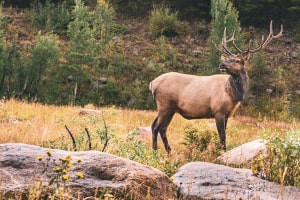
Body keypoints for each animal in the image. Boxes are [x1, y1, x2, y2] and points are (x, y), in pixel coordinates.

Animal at [150, 21, 284, 152]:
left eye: (237, 61)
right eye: (229, 58)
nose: (222, 64)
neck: (232, 95)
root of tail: (152, 84)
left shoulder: (228, 114)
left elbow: (224, 134)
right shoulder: (218, 111)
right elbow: (222, 136)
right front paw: (221, 152)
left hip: (170, 108)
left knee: (158, 127)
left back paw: (162, 151)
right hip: (164, 104)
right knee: (157, 127)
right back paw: (160, 151)